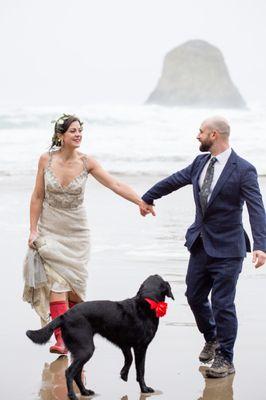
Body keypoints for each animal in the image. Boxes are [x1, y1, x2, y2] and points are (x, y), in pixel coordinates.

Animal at [26, 276, 174, 400]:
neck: (148, 303)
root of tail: (64, 315)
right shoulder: (141, 347)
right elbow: (140, 370)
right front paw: (144, 389)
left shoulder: (125, 344)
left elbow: (129, 359)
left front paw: (123, 374)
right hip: (86, 349)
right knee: (69, 372)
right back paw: (72, 395)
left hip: (80, 351)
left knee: (77, 374)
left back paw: (85, 392)